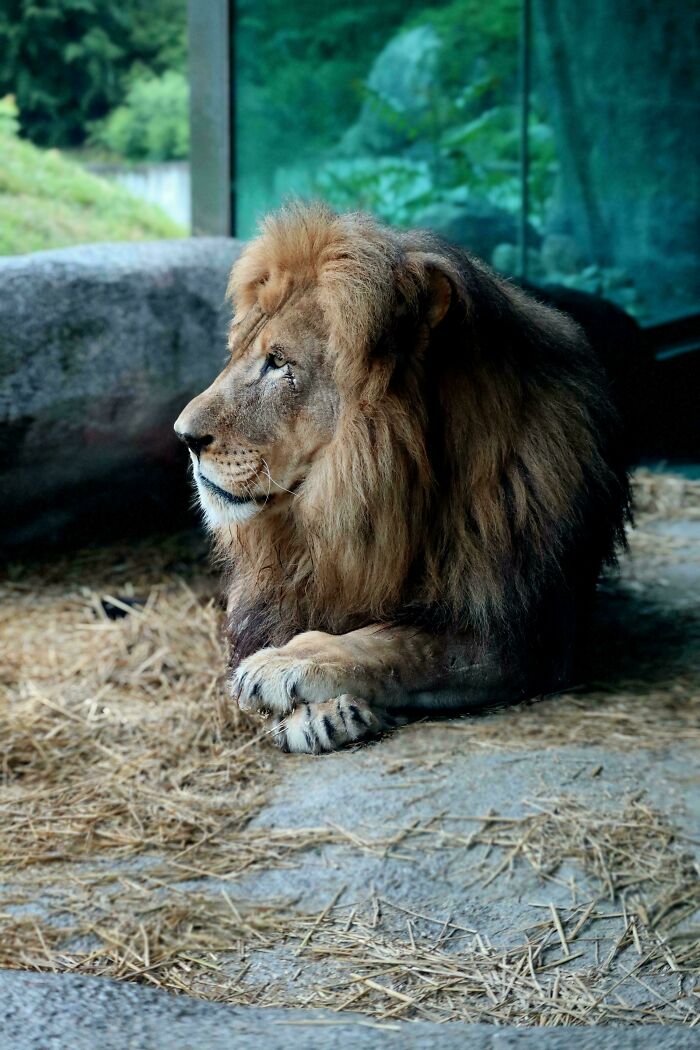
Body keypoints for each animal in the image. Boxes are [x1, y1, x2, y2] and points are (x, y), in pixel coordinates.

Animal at [175, 202, 629, 753]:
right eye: (238, 353)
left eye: (278, 362)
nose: (184, 436)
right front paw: (321, 711)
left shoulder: (525, 634)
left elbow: (400, 643)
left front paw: (289, 665)